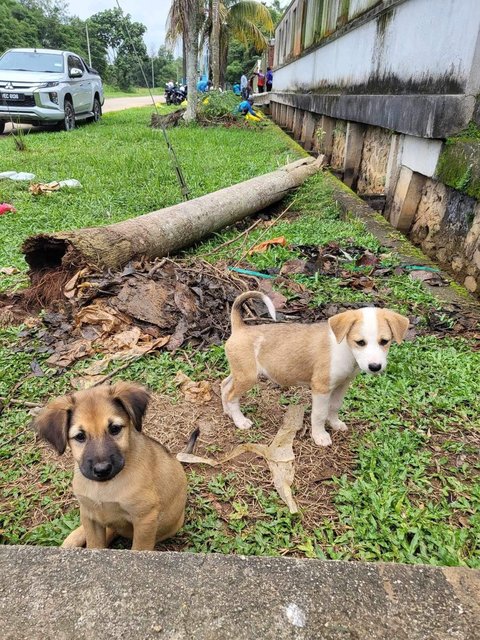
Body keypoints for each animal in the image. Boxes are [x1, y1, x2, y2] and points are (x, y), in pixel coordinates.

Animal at [34, 380, 189, 552]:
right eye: (80, 436)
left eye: (115, 429)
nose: (102, 470)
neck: (105, 486)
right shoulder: (91, 516)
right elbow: (94, 545)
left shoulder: (144, 518)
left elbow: (138, 548)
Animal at [221, 294, 408, 448]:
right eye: (360, 342)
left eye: (384, 341)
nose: (375, 367)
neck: (345, 349)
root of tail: (241, 328)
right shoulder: (321, 388)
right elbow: (319, 414)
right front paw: (320, 436)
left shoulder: (342, 385)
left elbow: (334, 406)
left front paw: (335, 423)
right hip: (248, 377)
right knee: (231, 395)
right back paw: (240, 420)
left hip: (240, 372)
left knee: (224, 385)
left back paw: (228, 412)